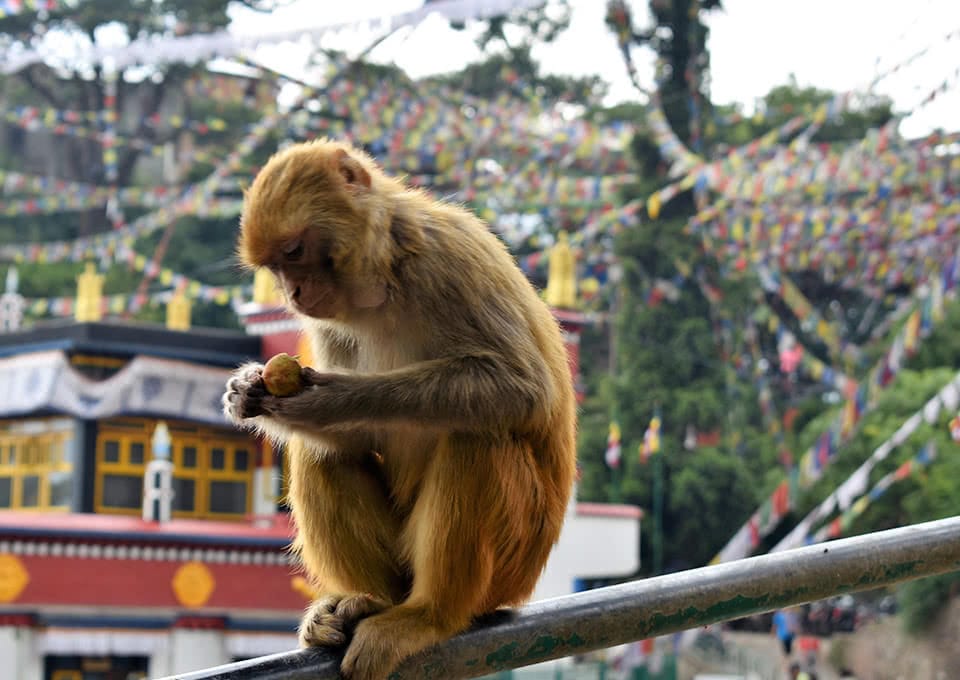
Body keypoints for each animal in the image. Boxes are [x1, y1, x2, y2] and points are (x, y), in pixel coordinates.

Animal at [223, 139, 576, 680]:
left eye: (294, 252)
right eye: (276, 268)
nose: (294, 295)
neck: (381, 279)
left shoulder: (447, 259)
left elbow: (522, 388)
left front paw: (330, 401)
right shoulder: (327, 322)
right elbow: (346, 439)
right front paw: (247, 391)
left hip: (513, 563)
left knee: (478, 435)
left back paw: (428, 616)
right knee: (324, 455)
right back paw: (369, 603)